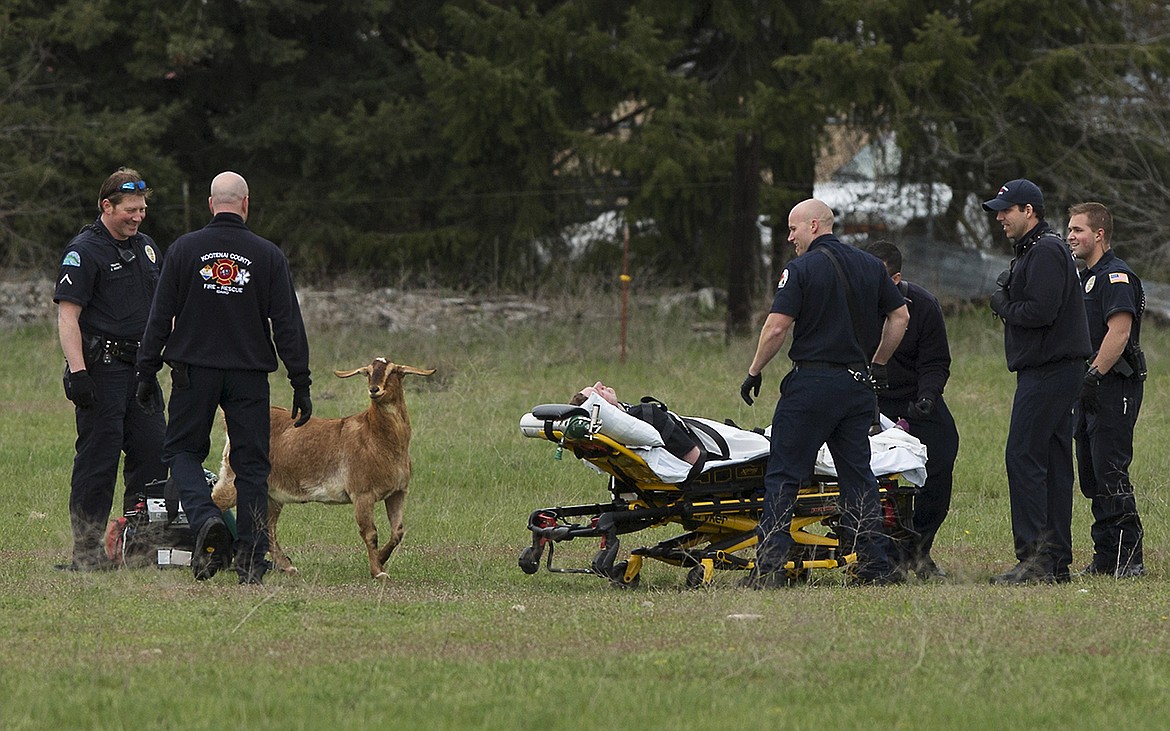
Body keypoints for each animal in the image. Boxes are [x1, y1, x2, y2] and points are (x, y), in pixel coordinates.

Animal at [210, 355, 435, 577]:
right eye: (368, 372)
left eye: (394, 371)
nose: (374, 389)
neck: (376, 437)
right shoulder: (362, 494)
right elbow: (370, 533)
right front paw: (378, 572)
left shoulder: (397, 492)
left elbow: (398, 532)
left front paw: (381, 559)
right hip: (234, 480)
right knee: (216, 502)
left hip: (272, 494)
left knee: (266, 527)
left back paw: (286, 566)